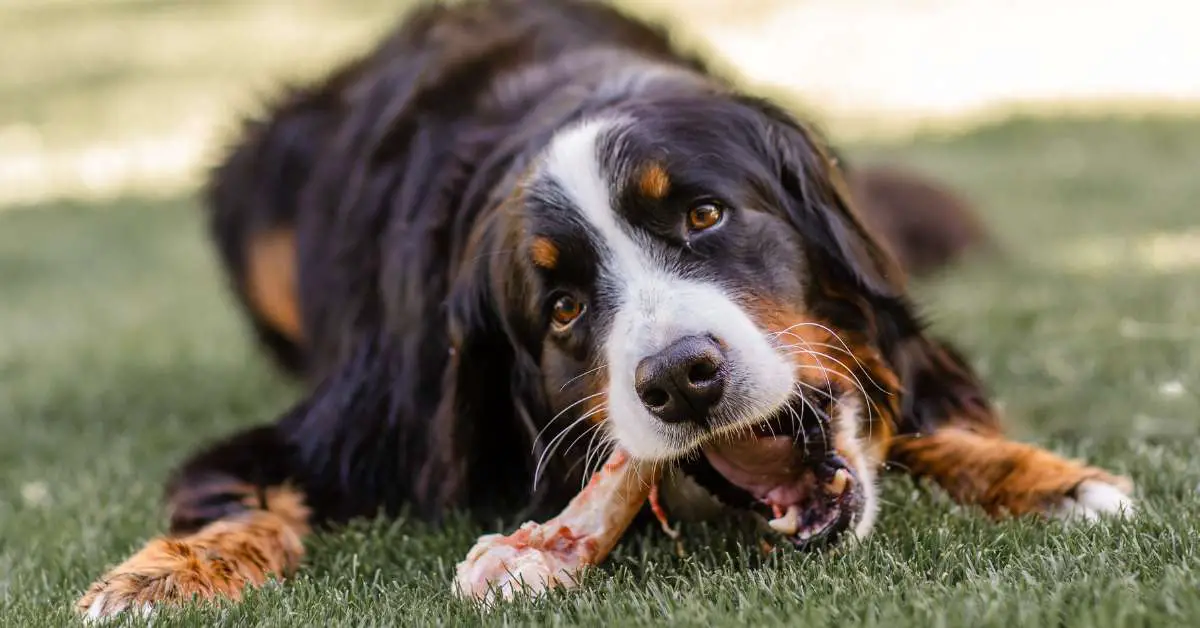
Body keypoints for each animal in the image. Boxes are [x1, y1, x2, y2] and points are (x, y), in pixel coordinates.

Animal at [77, 0, 1132, 619]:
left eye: (705, 215)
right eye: (562, 306)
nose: (681, 379)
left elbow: (922, 403)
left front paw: (1048, 479)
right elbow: (240, 498)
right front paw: (161, 574)